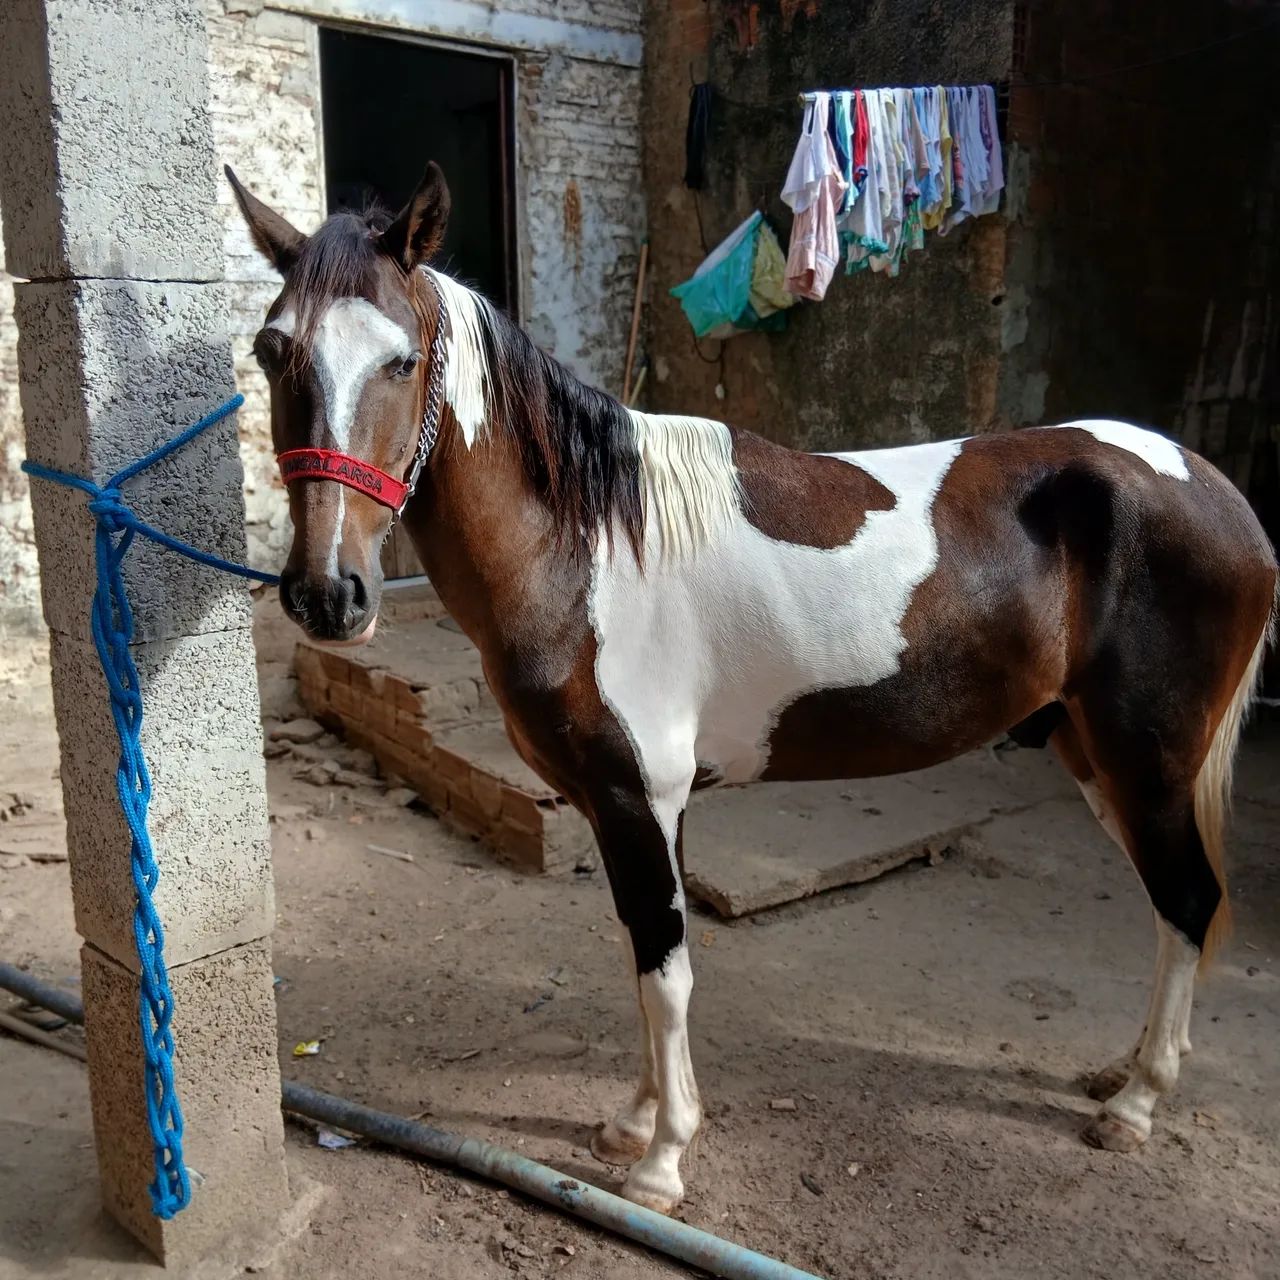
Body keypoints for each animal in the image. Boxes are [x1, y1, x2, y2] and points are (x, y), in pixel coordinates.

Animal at [227, 160, 1278, 1214]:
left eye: (402, 361)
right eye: (273, 351)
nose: (327, 595)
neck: (590, 544)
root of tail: (1220, 495)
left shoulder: (639, 795)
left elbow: (665, 971)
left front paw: (661, 1163)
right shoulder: (631, 805)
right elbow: (640, 954)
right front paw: (633, 1123)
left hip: (1145, 761)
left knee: (1189, 900)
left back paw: (1136, 1105)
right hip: (1090, 754)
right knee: (1173, 907)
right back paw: (1123, 1074)